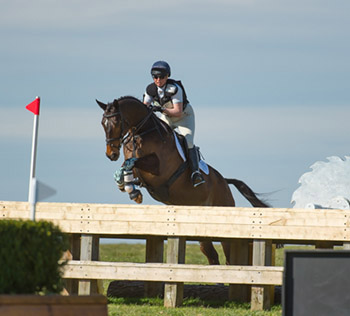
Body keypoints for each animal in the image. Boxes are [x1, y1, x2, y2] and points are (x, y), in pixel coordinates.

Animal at [97, 95, 270, 264]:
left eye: (116, 122)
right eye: (102, 123)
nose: (111, 154)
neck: (142, 133)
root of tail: (224, 181)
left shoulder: (158, 168)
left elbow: (130, 163)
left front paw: (133, 192)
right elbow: (126, 166)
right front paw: (127, 187)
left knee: (229, 258)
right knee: (212, 256)